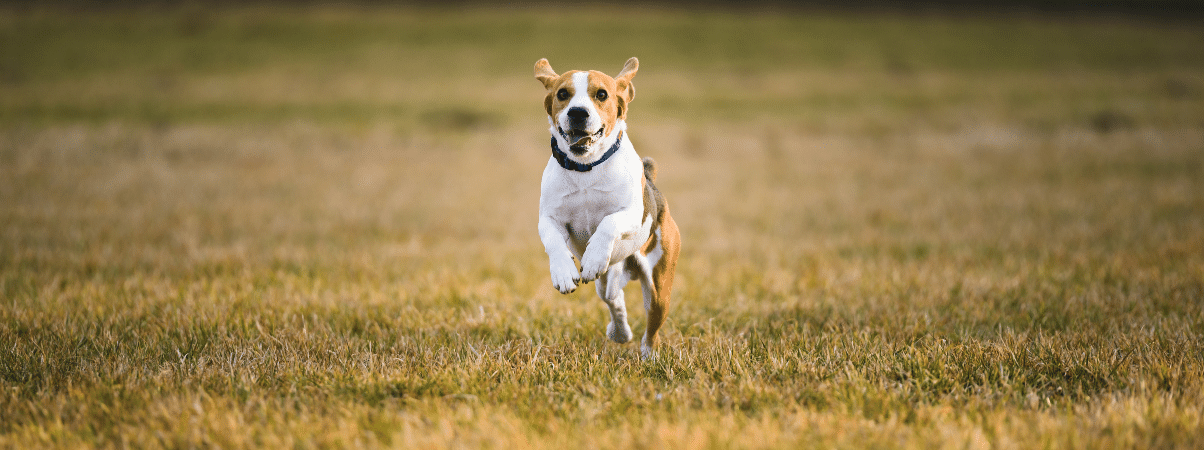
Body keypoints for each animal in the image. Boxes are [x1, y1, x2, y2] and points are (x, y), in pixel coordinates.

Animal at [534, 57, 683, 358]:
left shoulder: (631, 215)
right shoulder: (549, 218)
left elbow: (608, 223)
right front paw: (563, 272)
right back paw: (620, 331)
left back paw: (649, 355)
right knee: (614, 298)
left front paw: (592, 256)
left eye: (601, 94)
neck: (585, 167)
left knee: (652, 327)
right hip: (607, 279)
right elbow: (553, 239)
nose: (578, 113)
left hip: (660, 287)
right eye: (562, 94)